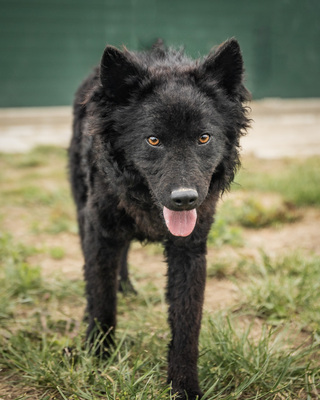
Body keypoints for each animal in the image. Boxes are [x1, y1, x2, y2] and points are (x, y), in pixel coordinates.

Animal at [69, 38, 250, 400]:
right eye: (153, 140)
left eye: (203, 138)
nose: (185, 199)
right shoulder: (100, 232)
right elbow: (101, 300)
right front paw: (98, 361)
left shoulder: (190, 250)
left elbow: (187, 324)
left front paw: (184, 388)